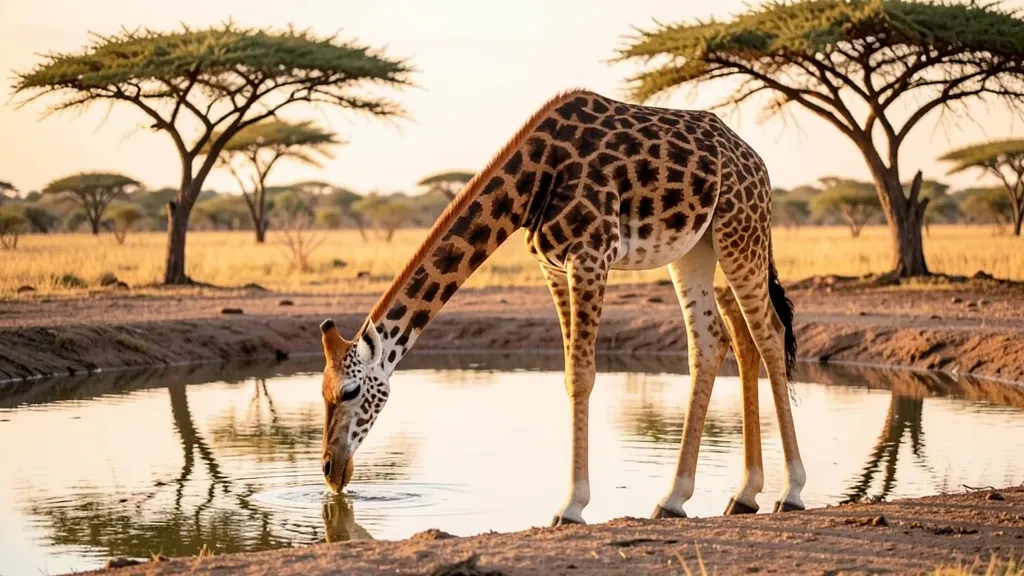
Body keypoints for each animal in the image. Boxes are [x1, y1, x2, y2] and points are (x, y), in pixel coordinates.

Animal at [317, 87, 805, 526]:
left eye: (350, 391)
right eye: (321, 393)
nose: (330, 471)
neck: (532, 184)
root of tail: (755, 161)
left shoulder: (591, 255)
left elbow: (583, 374)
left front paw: (571, 507)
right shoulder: (552, 266)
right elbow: (570, 375)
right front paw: (574, 501)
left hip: (740, 231)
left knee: (769, 333)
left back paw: (790, 492)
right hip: (695, 249)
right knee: (711, 341)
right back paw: (692, 498)